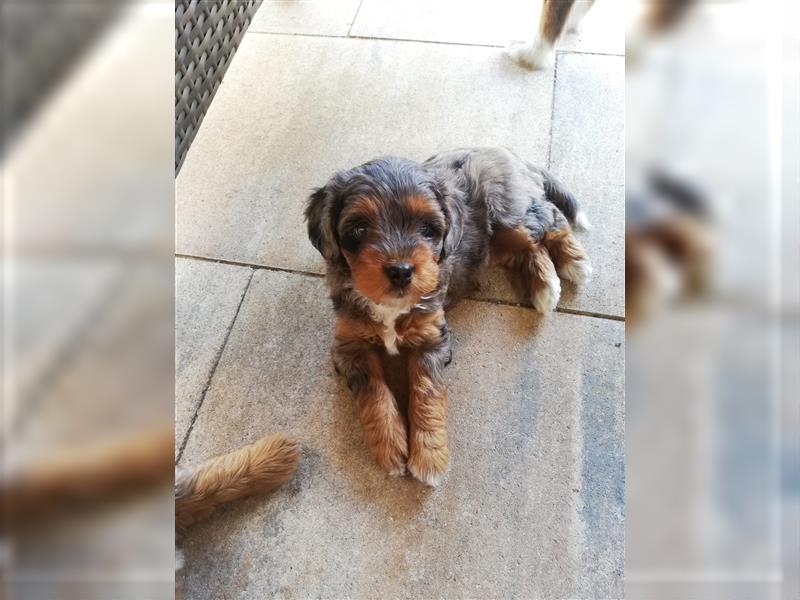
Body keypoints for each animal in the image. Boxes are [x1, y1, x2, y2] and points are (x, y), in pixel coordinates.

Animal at [304, 148, 592, 486]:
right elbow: (374, 393)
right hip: (494, 242)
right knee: (531, 247)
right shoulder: (350, 346)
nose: (401, 271)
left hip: (510, 211)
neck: (390, 306)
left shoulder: (432, 339)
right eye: (359, 229)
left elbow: (426, 392)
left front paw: (429, 458)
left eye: (428, 229)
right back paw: (545, 285)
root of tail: (506, 152)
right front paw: (390, 448)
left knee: (550, 219)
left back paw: (574, 263)